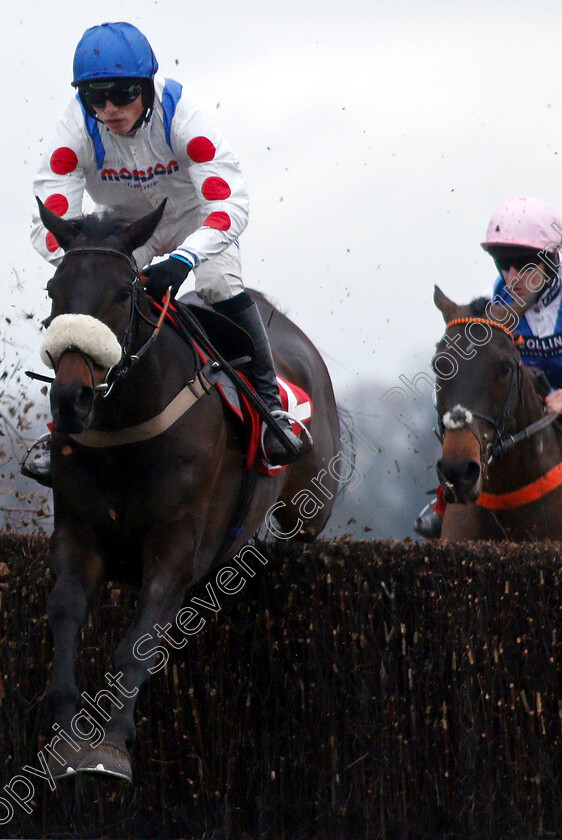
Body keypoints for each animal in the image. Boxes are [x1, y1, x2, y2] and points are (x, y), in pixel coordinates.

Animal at [37, 200, 342, 784]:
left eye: (123, 292)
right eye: (53, 290)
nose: (71, 398)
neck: (127, 428)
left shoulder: (176, 545)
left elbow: (136, 643)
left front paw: (111, 746)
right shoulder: (78, 533)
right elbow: (63, 613)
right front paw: (66, 736)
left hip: (311, 507)